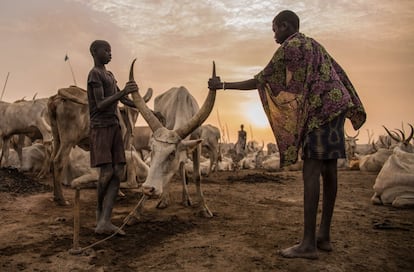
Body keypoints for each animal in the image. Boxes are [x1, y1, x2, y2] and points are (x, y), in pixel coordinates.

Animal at [129, 59, 217, 219]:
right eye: (151, 151)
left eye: (172, 153)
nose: (148, 188)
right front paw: (135, 213)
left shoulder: (196, 144)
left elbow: (197, 176)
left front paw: (204, 208)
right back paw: (166, 200)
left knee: (181, 168)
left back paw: (185, 198)